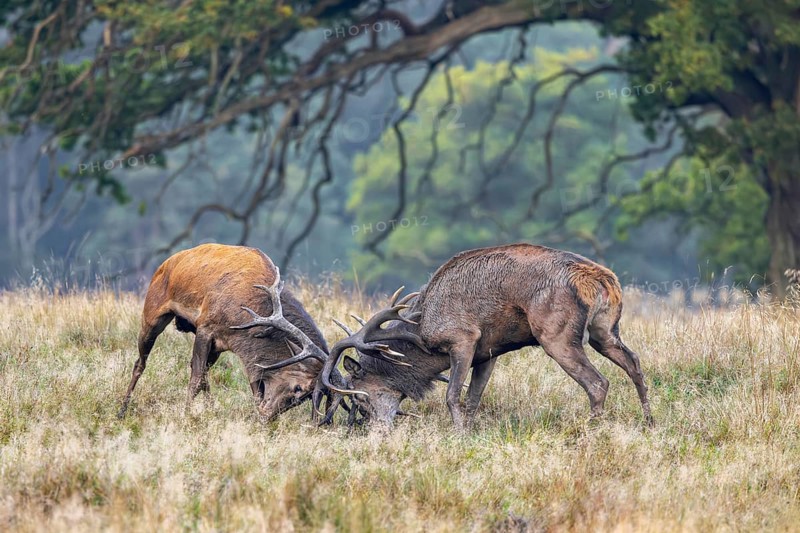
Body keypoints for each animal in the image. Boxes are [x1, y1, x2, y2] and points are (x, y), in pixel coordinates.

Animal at [117, 243, 345, 421]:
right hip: (152, 314)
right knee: (140, 363)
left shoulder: (230, 346)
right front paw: (185, 416)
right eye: (299, 388)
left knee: (203, 372)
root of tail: (167, 262)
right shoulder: (206, 327)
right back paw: (122, 409)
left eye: (307, 397)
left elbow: (253, 387)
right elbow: (195, 379)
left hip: (213, 347)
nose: (267, 417)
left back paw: (210, 409)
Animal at [240, 243, 653, 430]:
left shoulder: (463, 338)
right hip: (604, 330)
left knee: (597, 383)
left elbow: (453, 396)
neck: (423, 335)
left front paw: (457, 435)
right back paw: (649, 421)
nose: (374, 429)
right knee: (634, 364)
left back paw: (591, 431)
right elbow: (473, 399)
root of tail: (601, 279)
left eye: (358, 397)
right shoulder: (490, 351)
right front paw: (469, 431)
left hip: (556, 334)